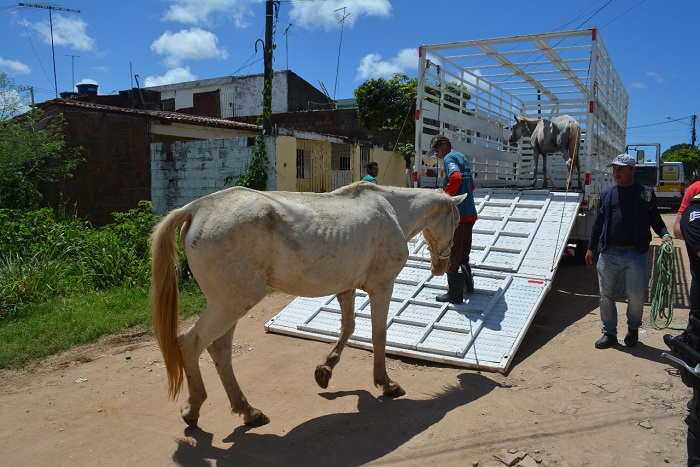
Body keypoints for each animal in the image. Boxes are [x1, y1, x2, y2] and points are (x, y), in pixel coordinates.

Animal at [150, 182, 464, 428]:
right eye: (457, 221)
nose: (442, 266)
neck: (392, 209)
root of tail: (197, 208)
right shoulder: (382, 287)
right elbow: (378, 335)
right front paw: (386, 384)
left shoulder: (346, 288)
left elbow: (348, 328)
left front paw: (325, 370)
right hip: (231, 305)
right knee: (191, 345)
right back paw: (195, 408)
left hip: (229, 306)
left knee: (220, 351)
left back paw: (248, 411)